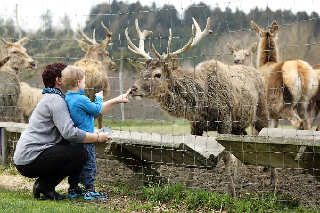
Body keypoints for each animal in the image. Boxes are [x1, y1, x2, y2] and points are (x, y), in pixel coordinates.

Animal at [126, 17, 268, 196]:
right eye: (141, 73)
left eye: (157, 74)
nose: (133, 89)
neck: (201, 103)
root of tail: (256, 70)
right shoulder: (195, 125)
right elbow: (192, 155)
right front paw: (188, 188)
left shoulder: (225, 119)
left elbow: (226, 156)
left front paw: (231, 193)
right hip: (239, 125)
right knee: (242, 146)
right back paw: (238, 182)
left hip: (261, 113)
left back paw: (272, 183)